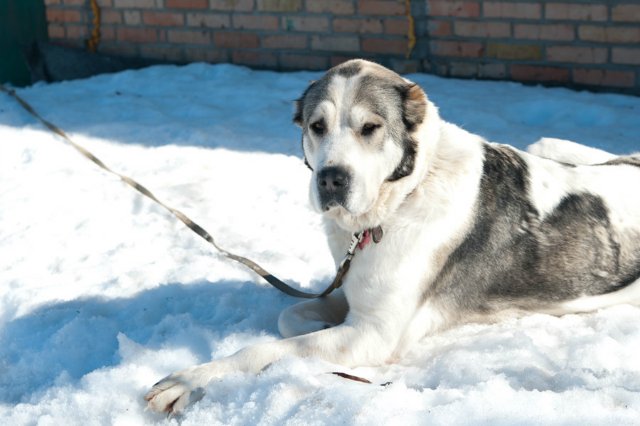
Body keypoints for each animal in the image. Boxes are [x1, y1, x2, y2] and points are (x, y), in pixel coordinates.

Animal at [145, 59, 640, 414]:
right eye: (316, 126)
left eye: (370, 128)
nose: (331, 179)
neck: (405, 194)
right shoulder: (351, 294)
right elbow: (290, 319)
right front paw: (312, 328)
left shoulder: (375, 334)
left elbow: (261, 349)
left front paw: (190, 380)